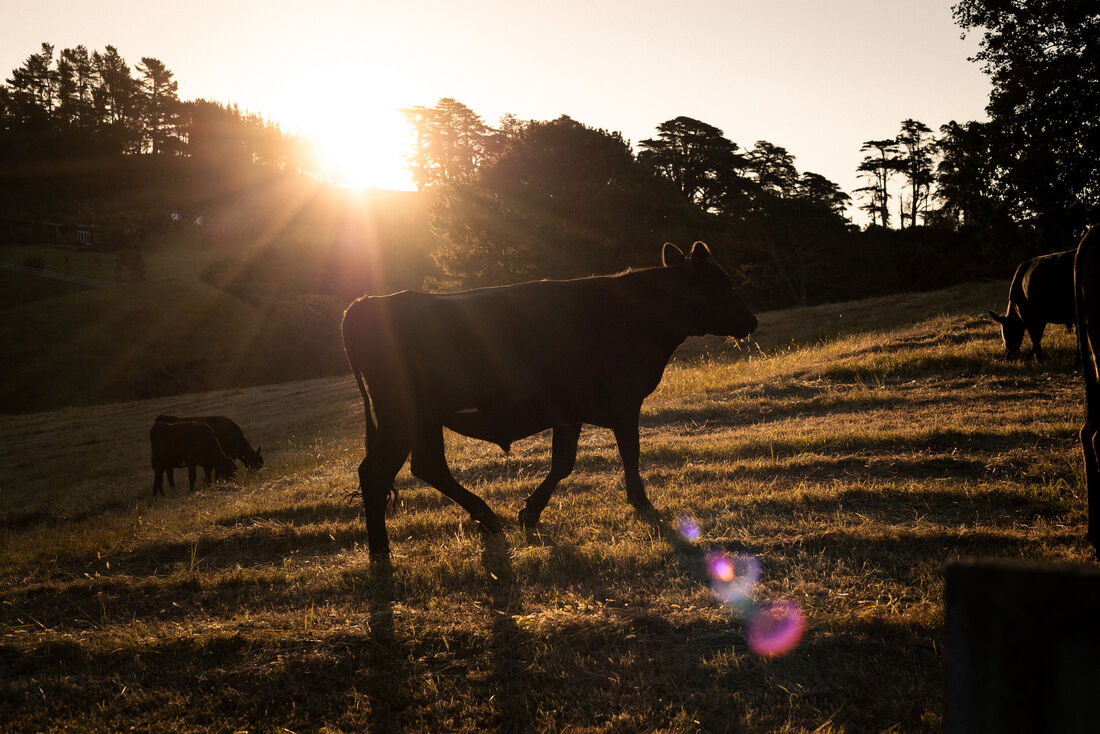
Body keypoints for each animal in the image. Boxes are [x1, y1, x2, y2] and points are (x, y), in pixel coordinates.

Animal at [341, 241, 758, 558]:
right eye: (723, 284)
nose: (752, 321)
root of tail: (365, 302)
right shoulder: (624, 402)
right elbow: (628, 452)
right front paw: (640, 501)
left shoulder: (570, 412)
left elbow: (563, 463)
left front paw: (530, 512)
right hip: (401, 416)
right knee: (381, 472)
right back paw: (382, 548)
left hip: (421, 420)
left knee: (425, 467)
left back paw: (484, 519)